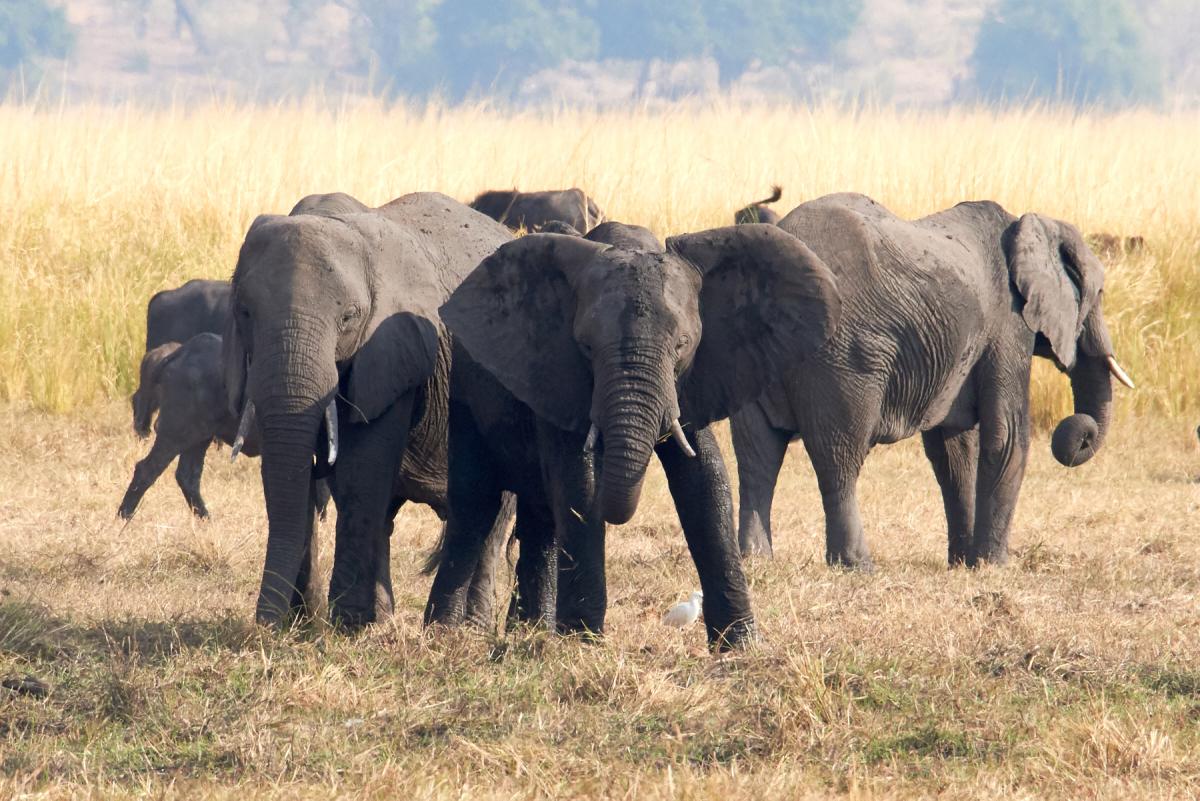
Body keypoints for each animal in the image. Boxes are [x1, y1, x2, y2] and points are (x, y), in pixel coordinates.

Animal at [120, 333, 330, 521]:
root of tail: (181, 352)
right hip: (176, 432)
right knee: (146, 469)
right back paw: (124, 516)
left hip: (199, 437)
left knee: (187, 476)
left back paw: (206, 519)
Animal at [224, 191, 513, 628]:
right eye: (244, 312)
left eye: (348, 317)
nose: (266, 627)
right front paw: (322, 624)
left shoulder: (393, 346)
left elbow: (361, 469)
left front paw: (348, 625)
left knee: (493, 518)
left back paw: (470, 628)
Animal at [423, 222, 842, 649]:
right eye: (586, 346)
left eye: (682, 344)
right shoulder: (557, 371)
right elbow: (579, 482)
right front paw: (583, 643)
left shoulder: (697, 377)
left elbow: (705, 482)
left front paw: (739, 646)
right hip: (463, 394)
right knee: (475, 505)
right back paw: (444, 634)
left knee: (541, 518)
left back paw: (532, 631)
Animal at [731, 193, 1134, 568]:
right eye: (1098, 295)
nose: (1081, 434)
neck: (1028, 224)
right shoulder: (1009, 322)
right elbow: (1006, 435)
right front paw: (993, 566)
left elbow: (953, 450)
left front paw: (963, 564)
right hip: (841, 357)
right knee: (839, 456)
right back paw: (857, 566)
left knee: (756, 458)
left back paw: (755, 560)